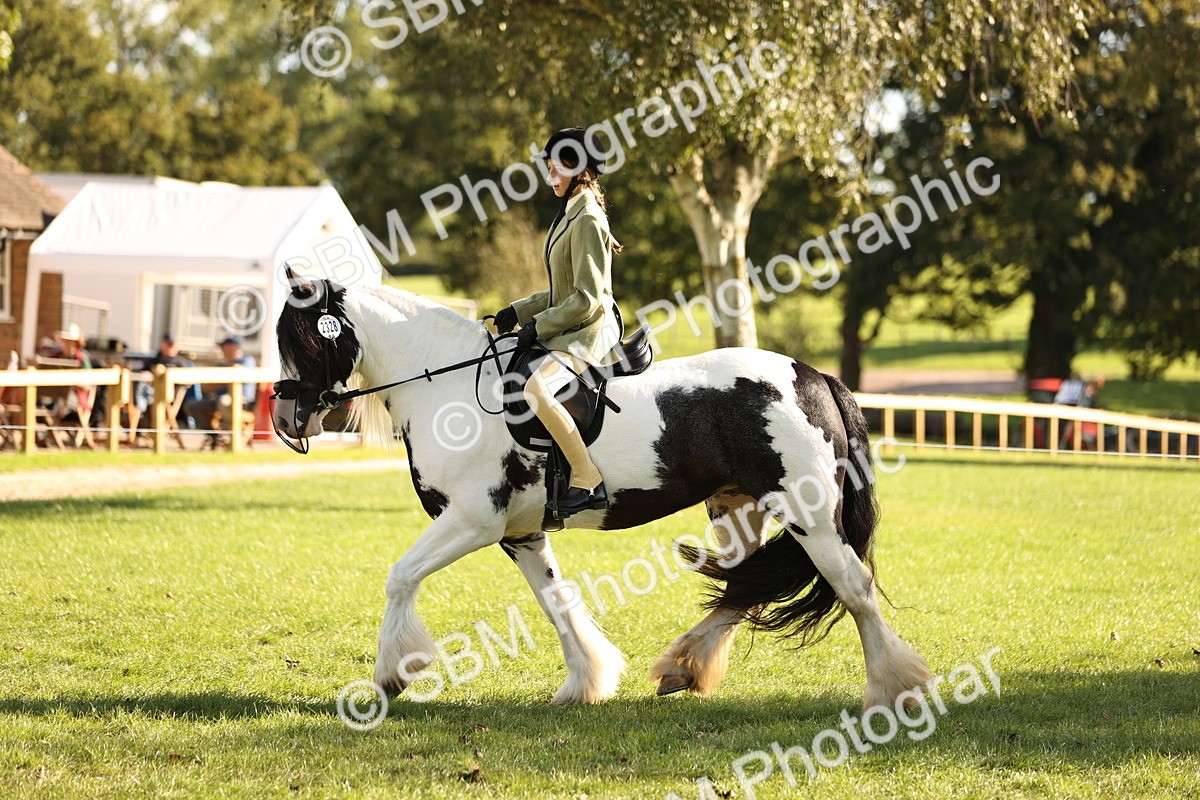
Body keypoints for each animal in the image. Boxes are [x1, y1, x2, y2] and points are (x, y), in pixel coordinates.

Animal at [272, 270, 932, 709]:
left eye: (304, 337)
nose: (285, 421)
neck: (448, 387)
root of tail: (812, 376)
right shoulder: (520, 535)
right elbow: (556, 603)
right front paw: (584, 682)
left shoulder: (473, 521)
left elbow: (400, 576)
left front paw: (391, 675)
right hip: (738, 510)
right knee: (744, 587)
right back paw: (682, 668)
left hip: (808, 514)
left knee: (853, 588)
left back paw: (890, 691)